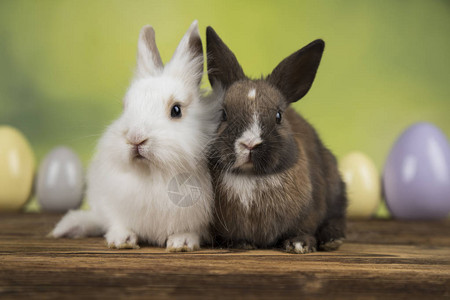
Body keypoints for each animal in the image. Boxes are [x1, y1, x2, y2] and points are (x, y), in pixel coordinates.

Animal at [51, 19, 220, 252]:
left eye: (176, 110)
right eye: (125, 106)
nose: (135, 137)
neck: (152, 174)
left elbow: (191, 230)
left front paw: (182, 243)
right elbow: (118, 222)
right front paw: (121, 241)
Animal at [207, 27, 348, 254]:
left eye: (279, 116)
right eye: (223, 114)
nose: (250, 144)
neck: (251, 178)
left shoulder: (311, 209)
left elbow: (305, 228)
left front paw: (299, 245)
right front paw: (241, 243)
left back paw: (332, 240)